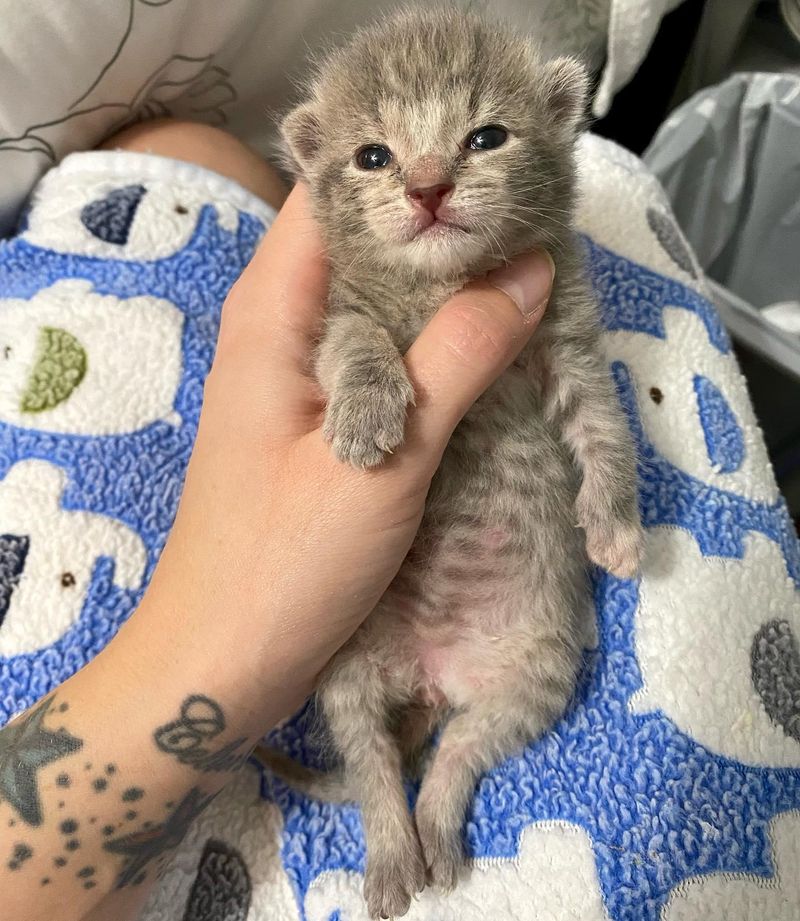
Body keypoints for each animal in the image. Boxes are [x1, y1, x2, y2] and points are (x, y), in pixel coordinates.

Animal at [260, 9, 640, 920]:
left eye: (486, 137)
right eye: (373, 156)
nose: (428, 187)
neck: (445, 285)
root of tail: (430, 676)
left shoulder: (570, 339)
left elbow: (605, 428)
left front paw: (617, 527)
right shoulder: (338, 315)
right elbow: (356, 343)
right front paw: (366, 416)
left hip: (533, 675)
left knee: (458, 755)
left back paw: (434, 837)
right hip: (346, 666)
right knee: (370, 769)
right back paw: (393, 855)